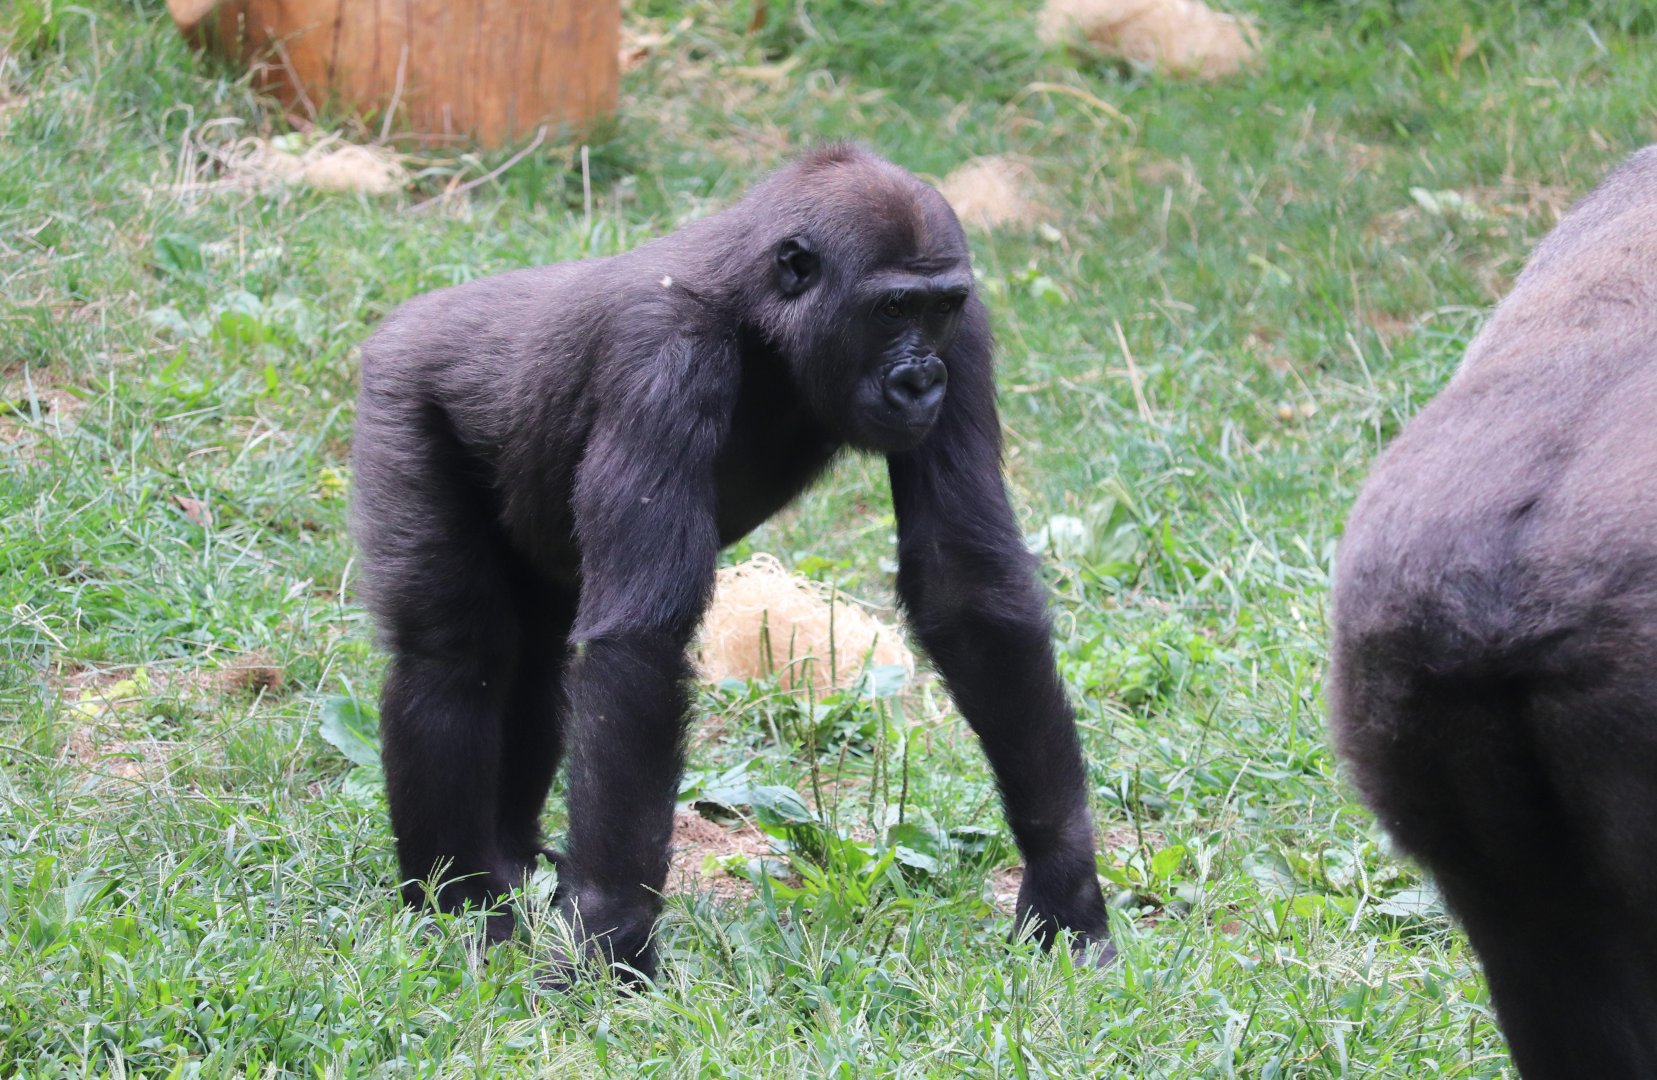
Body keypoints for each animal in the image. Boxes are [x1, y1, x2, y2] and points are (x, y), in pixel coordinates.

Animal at [349, 144, 1111, 981]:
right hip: (400, 391)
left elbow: (965, 586)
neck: (758, 312)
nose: (920, 380)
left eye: (937, 309)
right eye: (890, 311)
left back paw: (507, 858)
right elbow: (641, 646)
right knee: (453, 657)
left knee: (532, 663)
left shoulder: (966, 340)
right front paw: (611, 934)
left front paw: (1065, 884)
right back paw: (458, 902)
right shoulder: (663, 357)